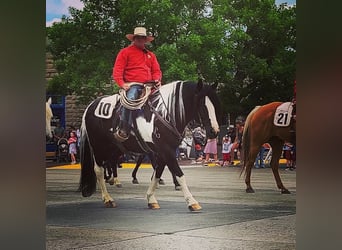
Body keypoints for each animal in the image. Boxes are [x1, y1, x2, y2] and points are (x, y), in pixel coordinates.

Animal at [79, 79, 220, 211]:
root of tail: (91, 106)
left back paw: (114, 182)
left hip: (115, 148)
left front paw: (151, 199)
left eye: (215, 103)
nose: (214, 131)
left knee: (111, 163)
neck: (165, 115)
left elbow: (157, 173)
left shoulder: (163, 151)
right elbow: (179, 174)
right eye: (202, 105)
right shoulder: (166, 150)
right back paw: (108, 198)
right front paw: (192, 202)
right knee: (99, 169)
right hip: (98, 146)